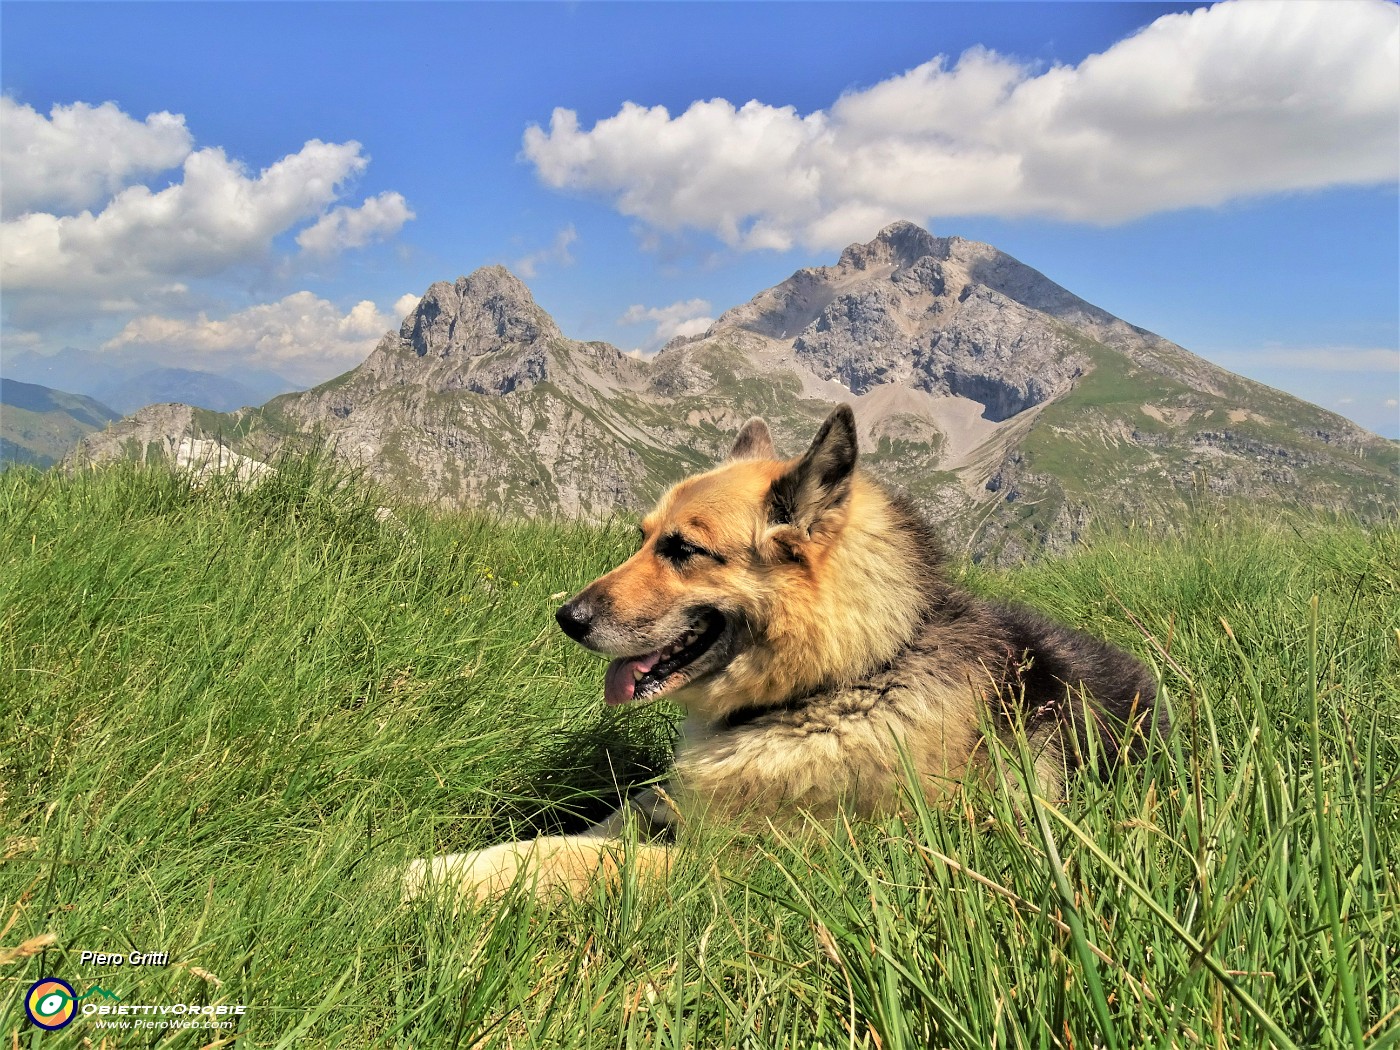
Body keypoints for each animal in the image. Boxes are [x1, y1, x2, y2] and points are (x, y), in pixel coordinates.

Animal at [400, 406, 1164, 907]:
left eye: (683, 549)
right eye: (642, 537)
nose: (567, 618)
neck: (851, 677)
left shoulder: (731, 864)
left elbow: (574, 861)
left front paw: (418, 881)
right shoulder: (677, 801)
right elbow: (592, 827)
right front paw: (463, 860)